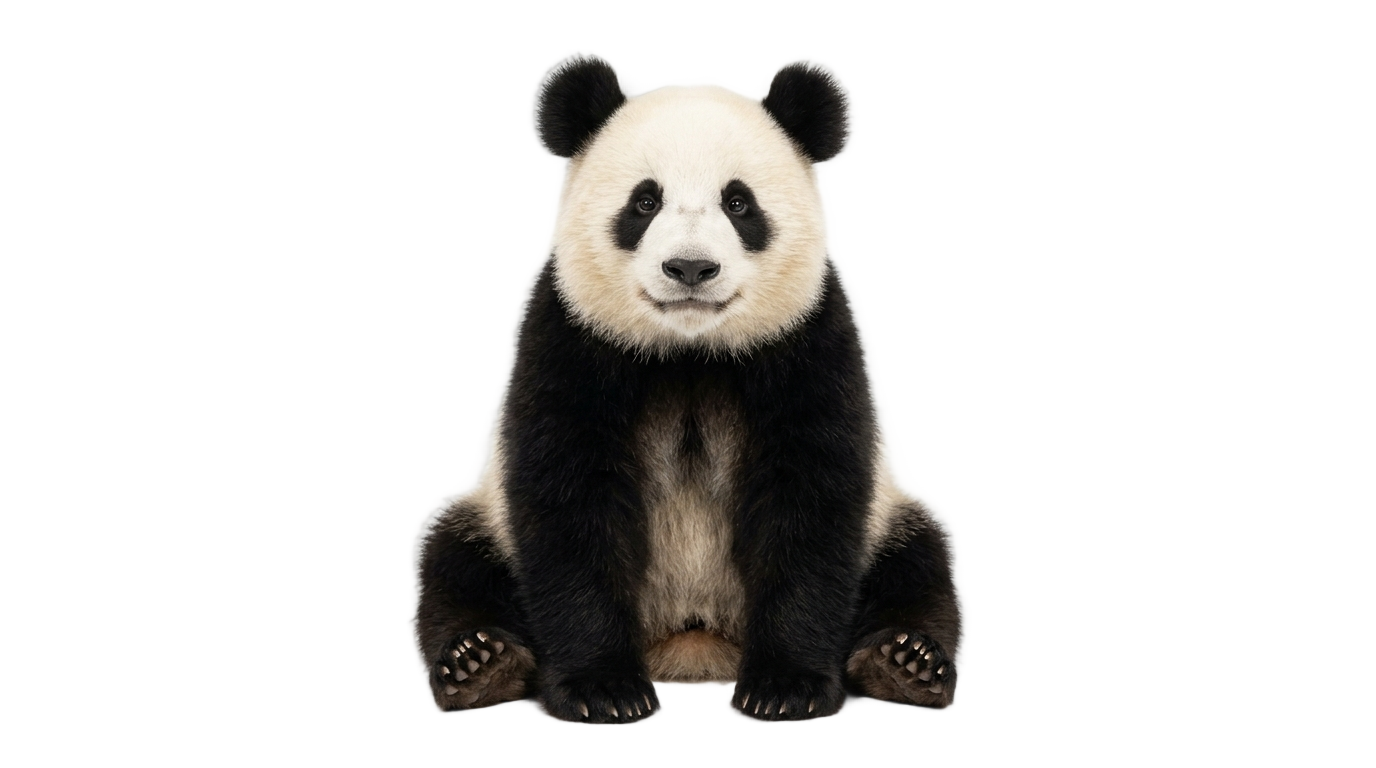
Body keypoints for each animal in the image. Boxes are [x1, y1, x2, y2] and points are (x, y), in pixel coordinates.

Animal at [415, 55, 960, 722]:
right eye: (645, 201)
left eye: (739, 202)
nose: (692, 268)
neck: (690, 350)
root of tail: (690, 641)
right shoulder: (571, 336)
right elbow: (568, 500)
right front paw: (602, 689)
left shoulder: (806, 339)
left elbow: (811, 498)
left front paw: (787, 687)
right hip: (486, 519)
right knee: (455, 560)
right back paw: (482, 662)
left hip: (889, 519)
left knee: (917, 562)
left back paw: (902, 661)